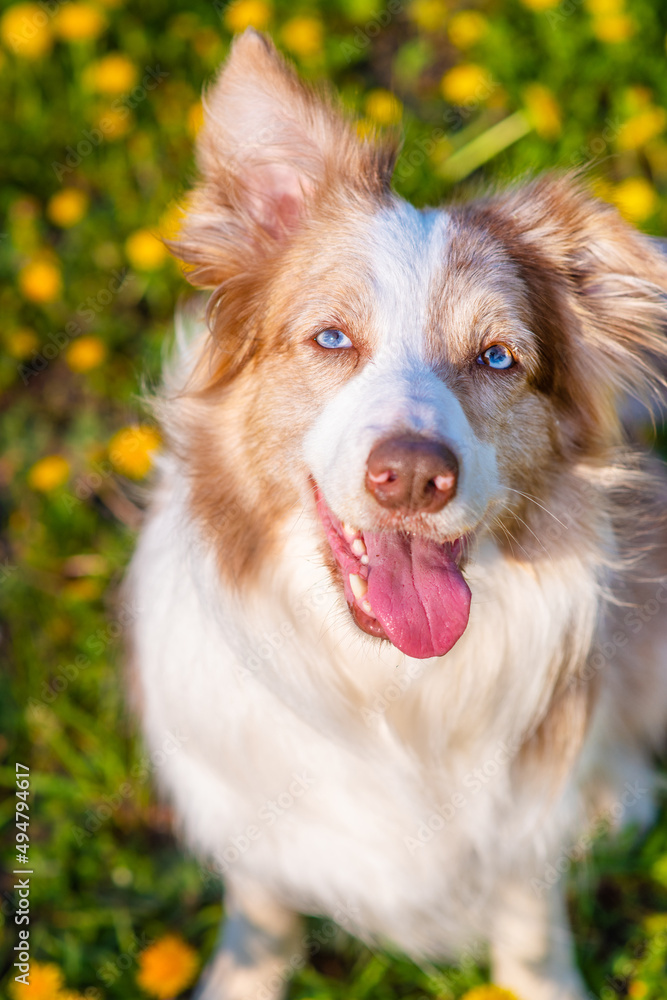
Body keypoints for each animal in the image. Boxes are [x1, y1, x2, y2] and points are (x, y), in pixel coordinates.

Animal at [128, 29, 667, 1000]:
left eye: (497, 358)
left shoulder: (522, 828)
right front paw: (241, 977)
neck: (387, 687)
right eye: (331, 338)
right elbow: (262, 907)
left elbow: (530, 928)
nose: (413, 478)